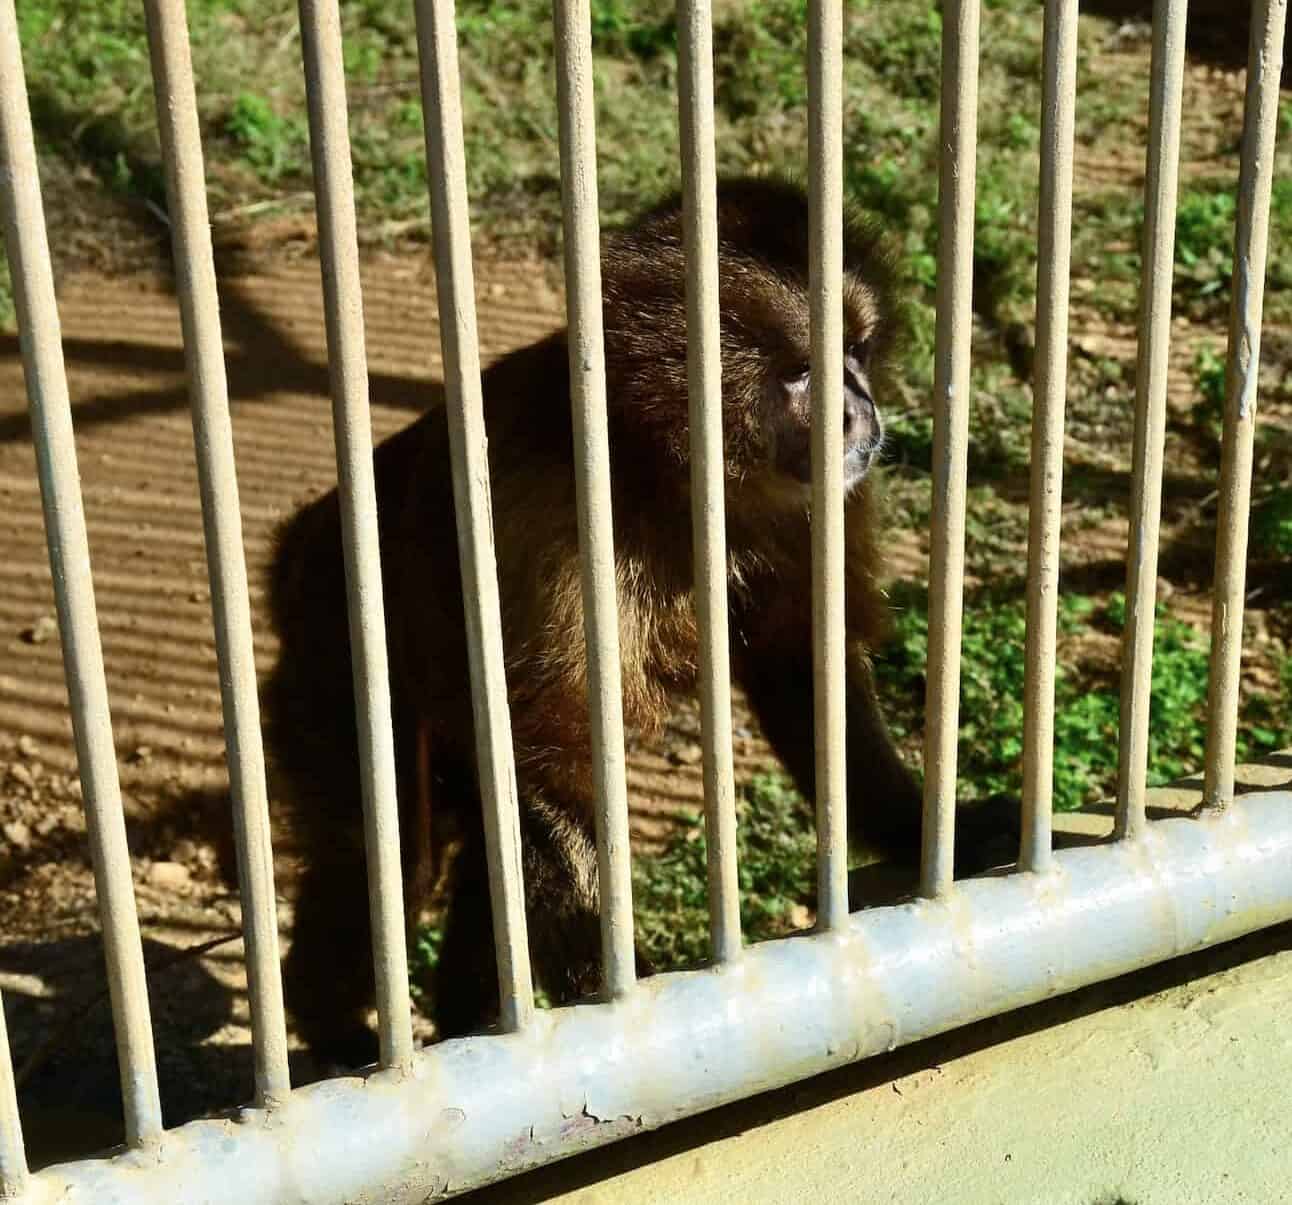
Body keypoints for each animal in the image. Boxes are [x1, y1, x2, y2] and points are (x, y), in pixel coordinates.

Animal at [259, 174, 1007, 1059]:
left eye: (855, 354)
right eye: (806, 372)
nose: (861, 409)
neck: (664, 466)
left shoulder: (808, 502)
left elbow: (798, 664)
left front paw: (912, 825)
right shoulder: (549, 511)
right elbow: (546, 745)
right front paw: (625, 993)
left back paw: (470, 1022)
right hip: (324, 637)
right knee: (398, 850)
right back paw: (339, 1036)